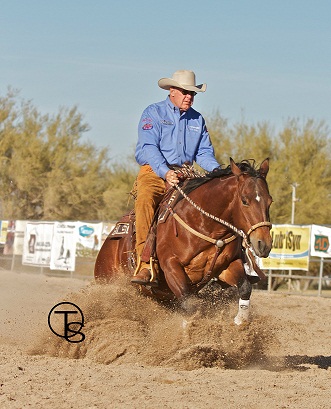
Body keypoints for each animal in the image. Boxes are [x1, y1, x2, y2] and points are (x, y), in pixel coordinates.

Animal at [94, 158, 274, 324]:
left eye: (270, 201)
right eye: (244, 200)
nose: (263, 243)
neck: (204, 224)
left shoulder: (227, 265)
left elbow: (245, 288)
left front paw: (240, 321)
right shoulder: (171, 267)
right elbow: (189, 304)